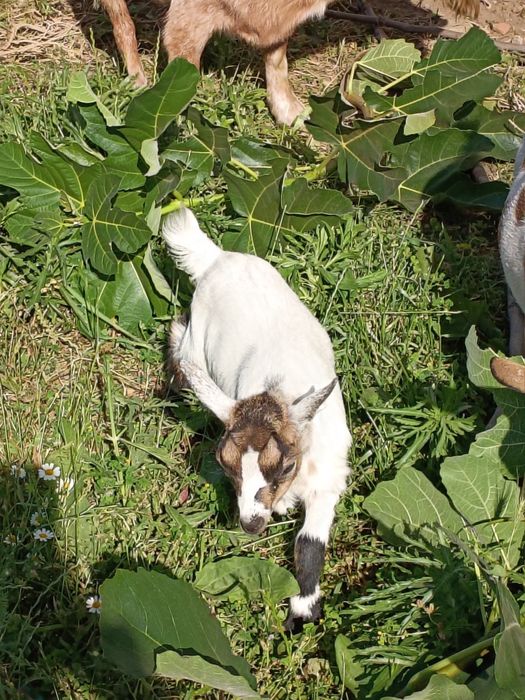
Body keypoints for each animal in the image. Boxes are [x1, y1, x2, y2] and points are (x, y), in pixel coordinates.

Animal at [99, 0, 482, 126]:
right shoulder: (190, 18)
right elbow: (183, 71)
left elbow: (277, 56)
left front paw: (290, 111)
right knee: (121, 18)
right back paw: (136, 78)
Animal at [162, 207, 351, 630]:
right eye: (223, 463)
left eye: (286, 466)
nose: (250, 524)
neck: (277, 387)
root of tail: (215, 258)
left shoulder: (328, 474)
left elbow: (310, 543)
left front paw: (303, 612)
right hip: (195, 338)